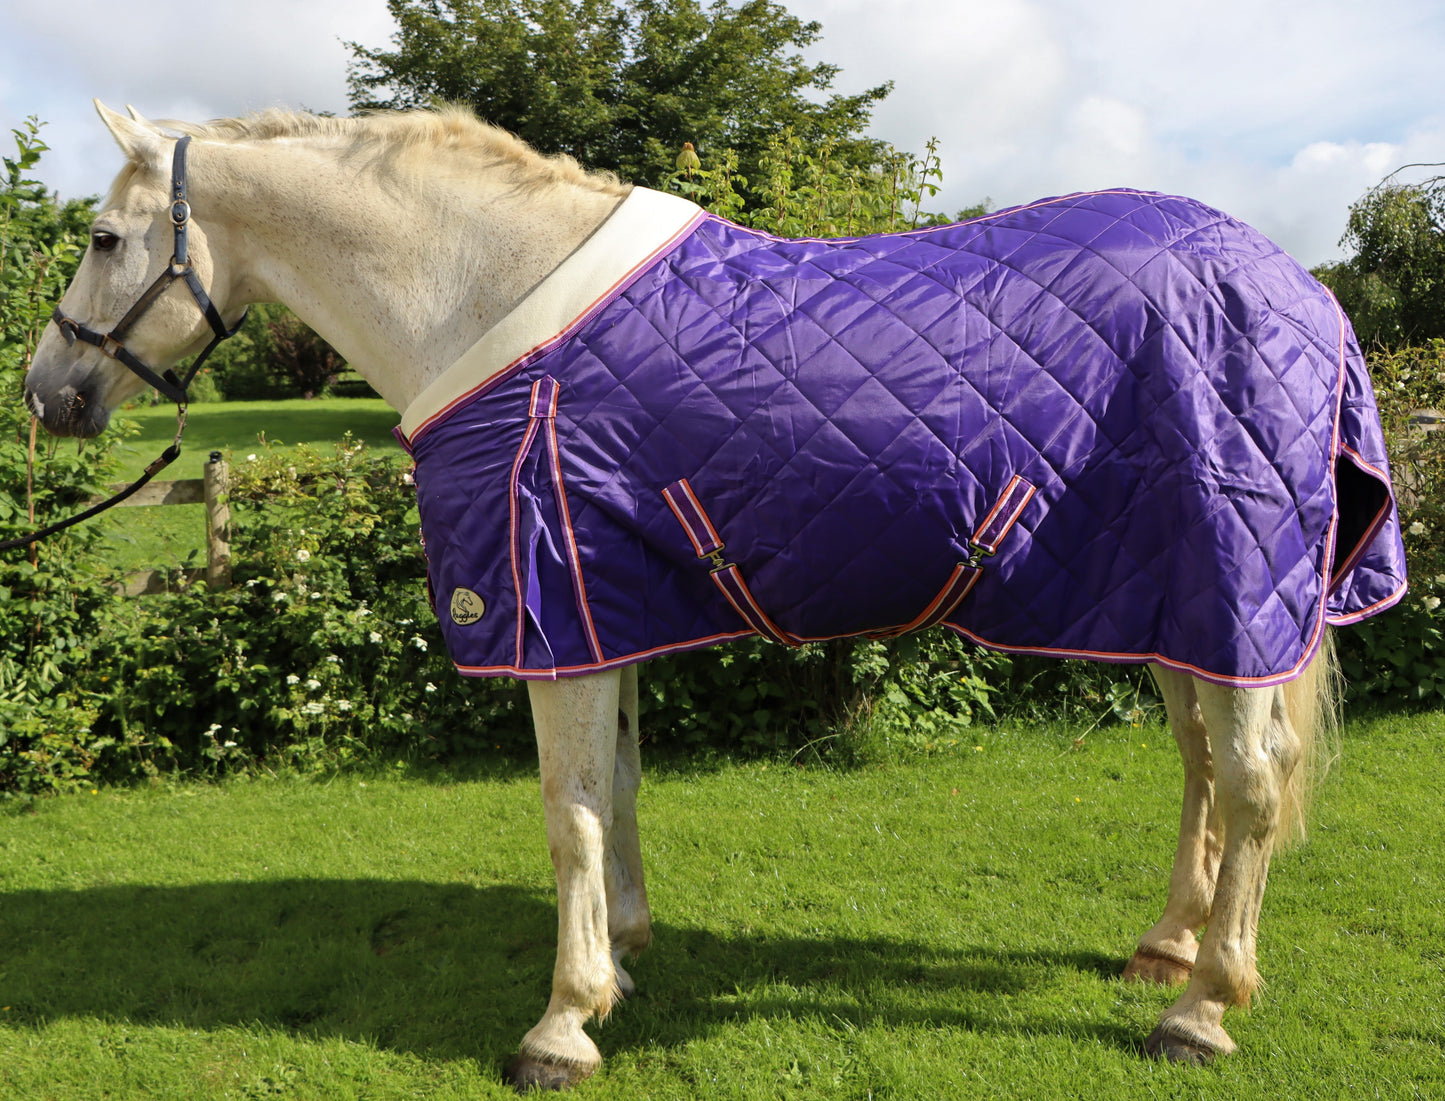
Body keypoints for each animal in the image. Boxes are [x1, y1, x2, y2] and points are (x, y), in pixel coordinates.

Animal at [23, 102, 1406, 1090]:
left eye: (100, 240)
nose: (48, 394)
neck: (484, 292)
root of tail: (1303, 292)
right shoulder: (605, 605)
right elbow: (619, 791)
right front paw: (623, 955)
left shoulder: (549, 617)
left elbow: (568, 812)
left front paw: (561, 1025)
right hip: (1182, 613)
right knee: (1200, 770)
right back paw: (1165, 949)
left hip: (1229, 589)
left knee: (1248, 782)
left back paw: (1199, 1008)